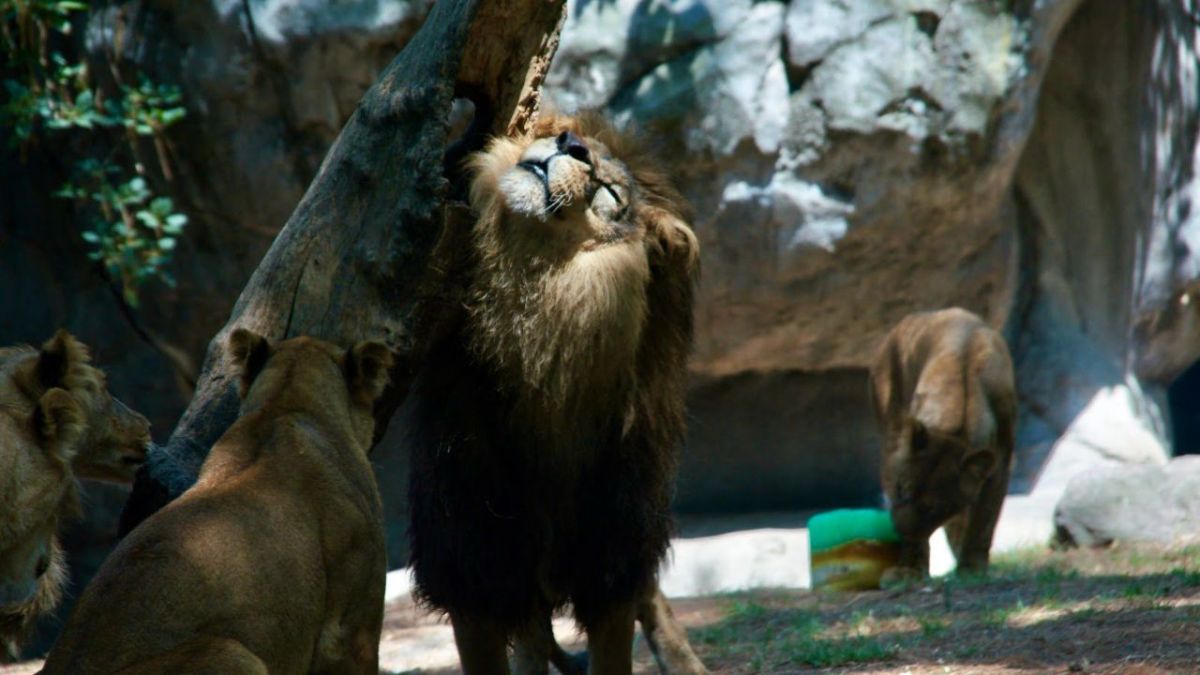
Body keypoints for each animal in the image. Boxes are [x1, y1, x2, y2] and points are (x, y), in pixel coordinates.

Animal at [873, 307, 1012, 581]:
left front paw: (972, 567)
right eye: (901, 490)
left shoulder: (1000, 464)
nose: (900, 531)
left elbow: (984, 520)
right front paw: (910, 569)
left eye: (932, 508)